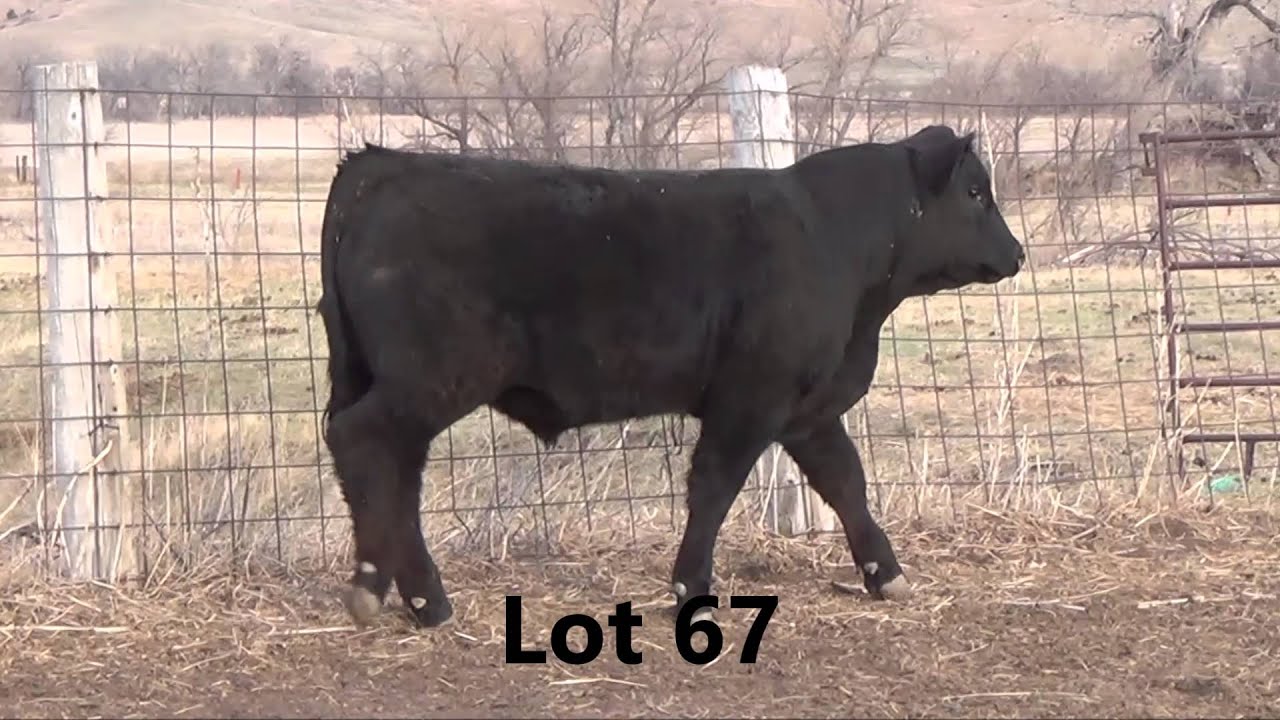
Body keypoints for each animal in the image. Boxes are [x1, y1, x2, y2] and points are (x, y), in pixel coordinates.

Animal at [316, 125, 1025, 628]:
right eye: (974, 192)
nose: (1016, 253)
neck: (835, 240)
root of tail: (382, 163)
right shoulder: (749, 400)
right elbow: (714, 487)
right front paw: (692, 584)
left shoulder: (808, 409)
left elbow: (846, 482)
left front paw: (886, 574)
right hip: (434, 377)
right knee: (362, 442)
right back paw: (397, 590)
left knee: (392, 471)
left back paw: (400, 592)